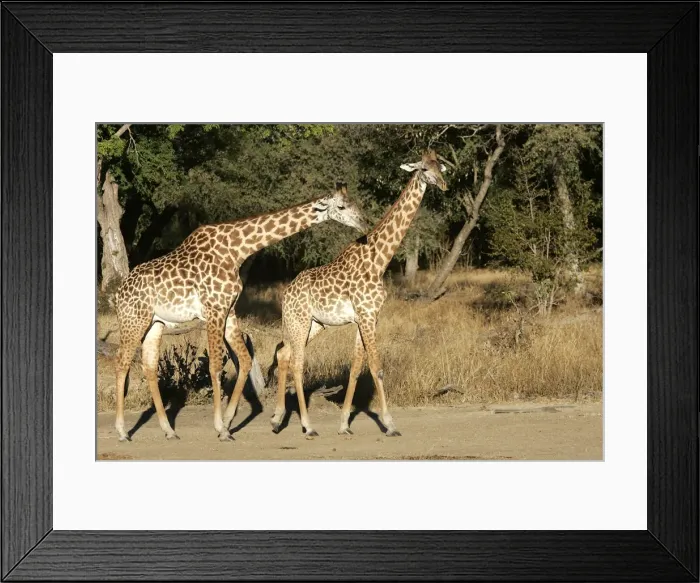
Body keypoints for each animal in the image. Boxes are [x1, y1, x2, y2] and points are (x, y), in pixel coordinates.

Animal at [112, 182, 368, 443]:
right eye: (341, 206)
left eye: (355, 202)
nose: (364, 223)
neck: (236, 250)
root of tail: (118, 294)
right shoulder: (214, 309)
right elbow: (215, 365)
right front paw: (220, 426)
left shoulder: (229, 310)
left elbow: (244, 360)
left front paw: (227, 423)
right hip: (133, 319)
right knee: (121, 363)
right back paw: (122, 431)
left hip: (154, 323)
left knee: (149, 367)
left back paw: (169, 430)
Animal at [271, 150, 447, 437]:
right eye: (423, 168)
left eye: (439, 167)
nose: (443, 184)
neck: (379, 260)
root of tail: (286, 294)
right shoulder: (366, 315)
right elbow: (377, 368)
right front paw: (390, 424)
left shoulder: (367, 318)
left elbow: (355, 368)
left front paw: (344, 424)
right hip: (299, 320)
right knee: (296, 361)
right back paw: (307, 426)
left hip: (314, 324)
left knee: (284, 354)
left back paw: (277, 420)